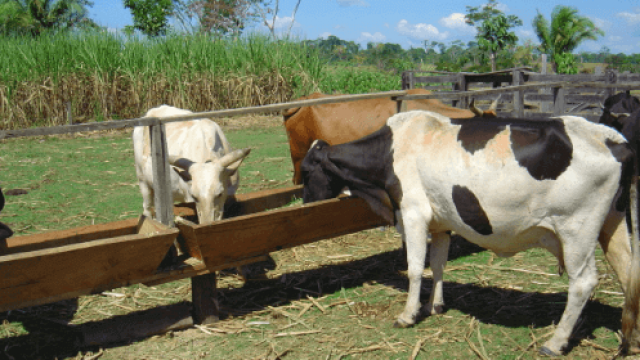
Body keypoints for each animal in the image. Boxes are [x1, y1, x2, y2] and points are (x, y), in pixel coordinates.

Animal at [300, 110, 640, 358]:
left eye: (305, 172)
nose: (304, 204)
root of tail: (613, 138)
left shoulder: (413, 213)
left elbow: (414, 269)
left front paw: (408, 315)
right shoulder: (440, 222)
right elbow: (437, 265)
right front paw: (435, 306)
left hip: (576, 229)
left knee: (583, 283)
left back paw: (555, 343)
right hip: (613, 223)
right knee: (628, 275)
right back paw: (630, 339)